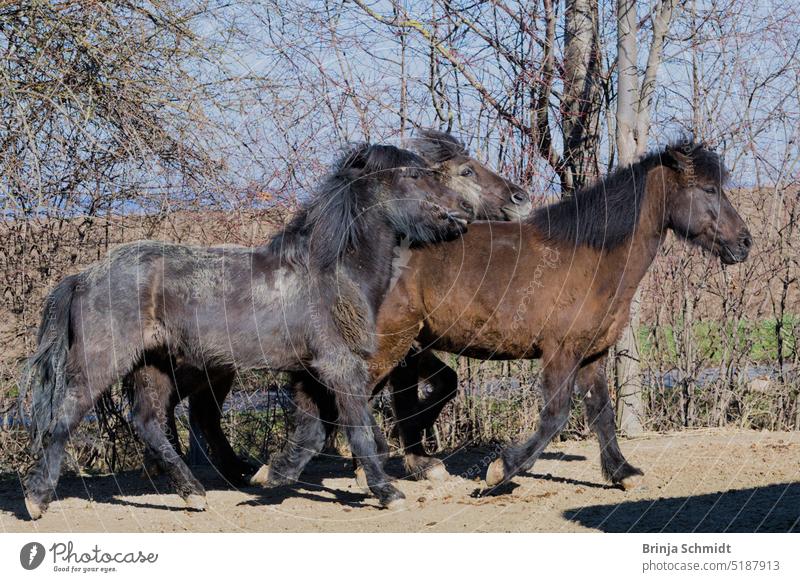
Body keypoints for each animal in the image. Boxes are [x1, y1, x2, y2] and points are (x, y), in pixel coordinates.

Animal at [274, 139, 752, 490]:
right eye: (709, 190)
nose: (745, 242)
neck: (594, 258)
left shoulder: (592, 355)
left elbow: (602, 413)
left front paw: (622, 472)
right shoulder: (561, 352)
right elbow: (556, 415)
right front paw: (501, 470)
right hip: (388, 343)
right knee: (343, 395)